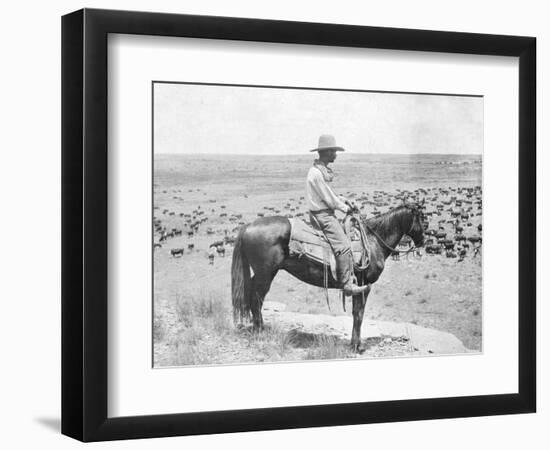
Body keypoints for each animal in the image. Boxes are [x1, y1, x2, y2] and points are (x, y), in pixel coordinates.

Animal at [232, 200, 426, 352]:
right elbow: (359, 314)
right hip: (265, 274)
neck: (373, 241)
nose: (423, 241)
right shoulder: (363, 285)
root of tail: (248, 226)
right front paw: (357, 346)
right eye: (421, 218)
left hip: (261, 274)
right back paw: (260, 331)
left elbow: (357, 313)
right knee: (256, 299)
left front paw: (355, 344)